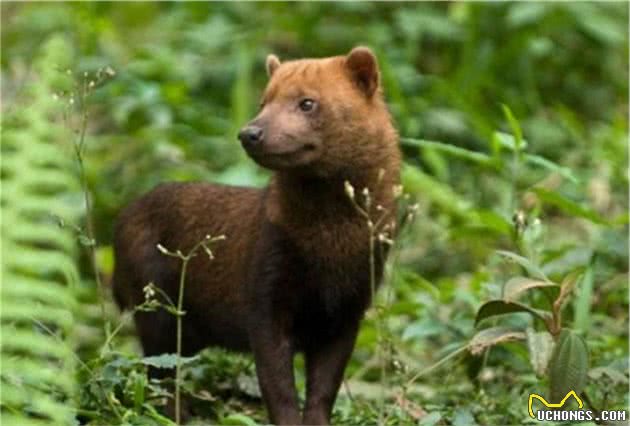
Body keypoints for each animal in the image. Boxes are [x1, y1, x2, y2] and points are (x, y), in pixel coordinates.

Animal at [113, 45, 400, 424]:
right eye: (263, 101)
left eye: (307, 102)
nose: (249, 132)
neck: (329, 250)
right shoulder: (266, 291)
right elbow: (277, 386)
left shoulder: (349, 308)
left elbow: (324, 389)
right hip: (157, 306)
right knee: (160, 373)